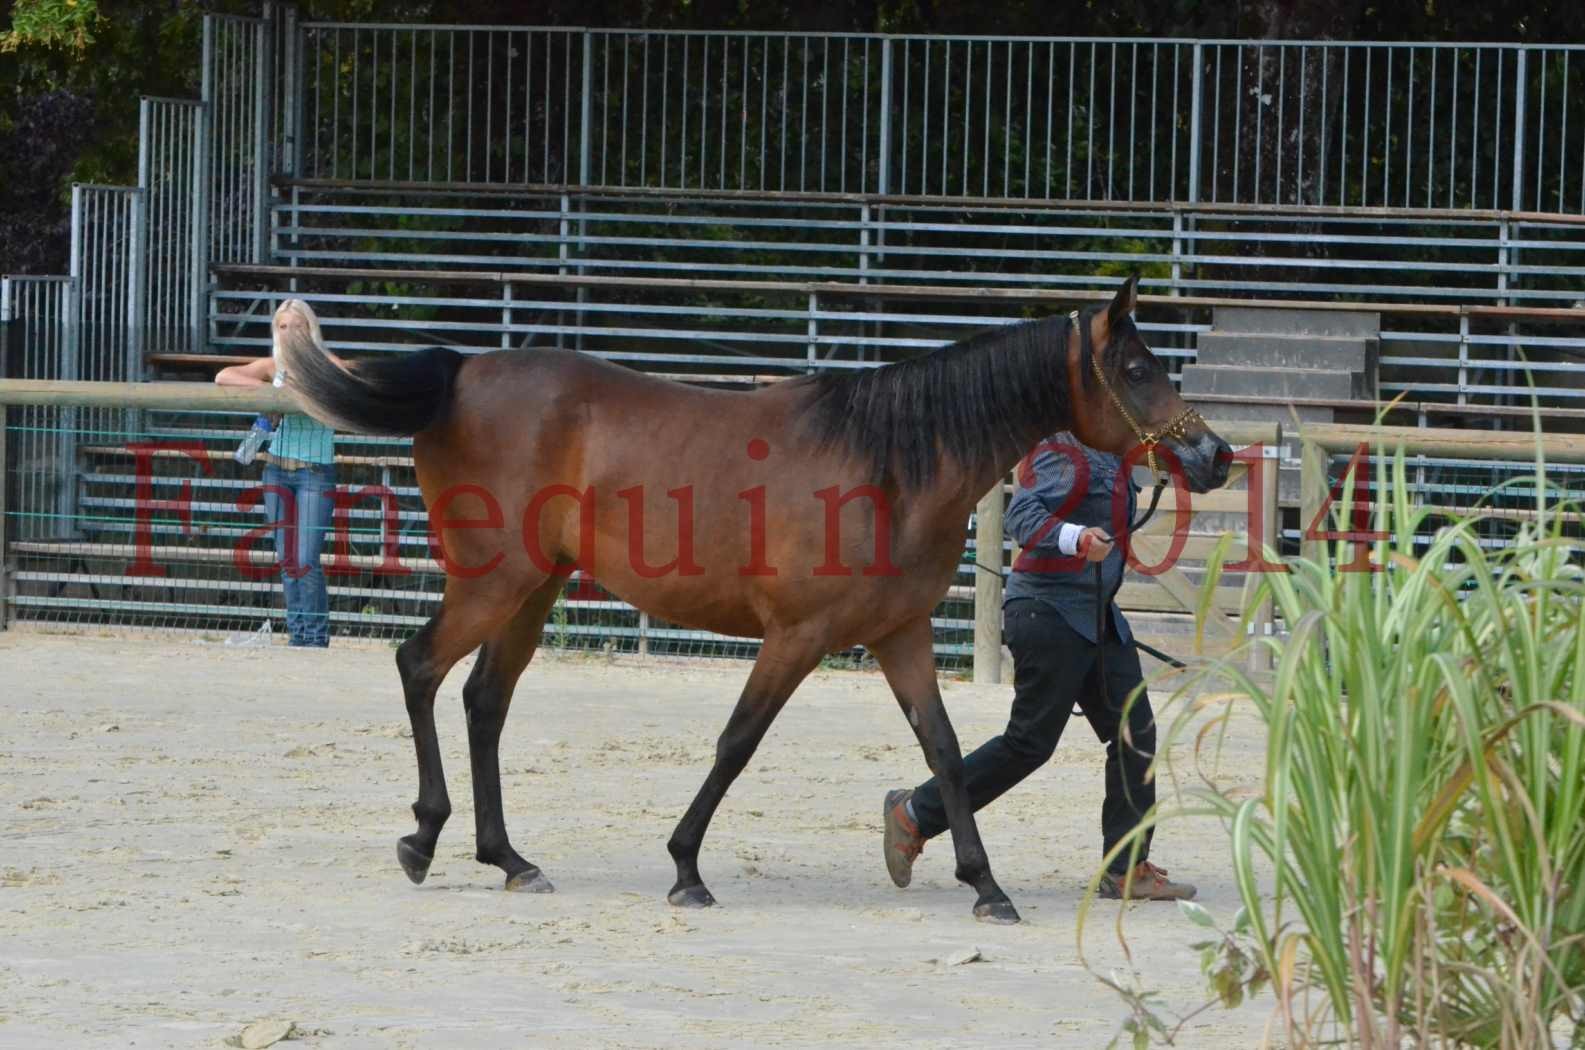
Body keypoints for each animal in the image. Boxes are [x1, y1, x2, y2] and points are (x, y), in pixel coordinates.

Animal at [278, 275, 1229, 926]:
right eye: (1136, 368)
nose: (1213, 455)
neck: (887, 465)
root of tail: (463, 371)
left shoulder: (902, 636)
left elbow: (948, 751)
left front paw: (985, 885)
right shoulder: (795, 637)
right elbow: (738, 742)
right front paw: (685, 869)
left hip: (534, 587)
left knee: (484, 699)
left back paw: (509, 859)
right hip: (494, 579)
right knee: (420, 667)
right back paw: (423, 838)